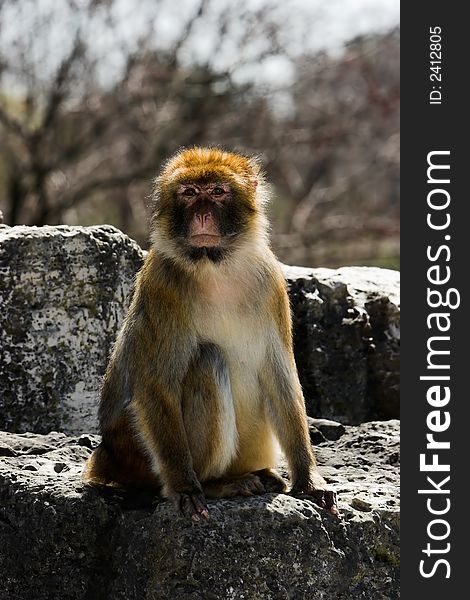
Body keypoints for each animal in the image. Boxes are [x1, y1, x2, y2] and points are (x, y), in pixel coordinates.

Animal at [81, 145, 338, 520]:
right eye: (189, 193)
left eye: (217, 191)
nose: (202, 215)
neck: (215, 266)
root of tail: (107, 455)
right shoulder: (162, 285)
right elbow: (156, 383)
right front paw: (186, 488)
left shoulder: (271, 281)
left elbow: (280, 377)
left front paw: (308, 480)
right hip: (136, 455)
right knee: (207, 359)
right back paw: (215, 484)